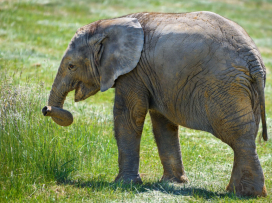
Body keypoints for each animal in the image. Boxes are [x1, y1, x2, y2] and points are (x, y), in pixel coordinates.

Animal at [42, 11, 268, 197]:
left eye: (71, 66)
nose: (46, 109)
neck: (111, 22)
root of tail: (254, 60)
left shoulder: (134, 72)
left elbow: (128, 117)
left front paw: (123, 185)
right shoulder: (157, 78)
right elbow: (163, 124)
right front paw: (173, 184)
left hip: (224, 87)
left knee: (239, 136)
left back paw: (247, 194)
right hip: (247, 90)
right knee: (246, 135)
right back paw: (239, 192)